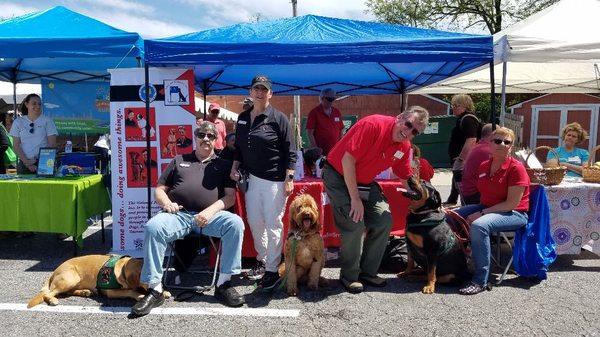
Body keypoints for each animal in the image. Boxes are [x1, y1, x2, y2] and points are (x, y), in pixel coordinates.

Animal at [27, 255, 169, 308]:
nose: (162, 287)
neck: (122, 268)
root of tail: (54, 271)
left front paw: (165, 291)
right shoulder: (110, 292)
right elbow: (130, 291)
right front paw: (138, 295)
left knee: (67, 292)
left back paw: (85, 292)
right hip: (71, 277)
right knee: (48, 294)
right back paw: (52, 300)